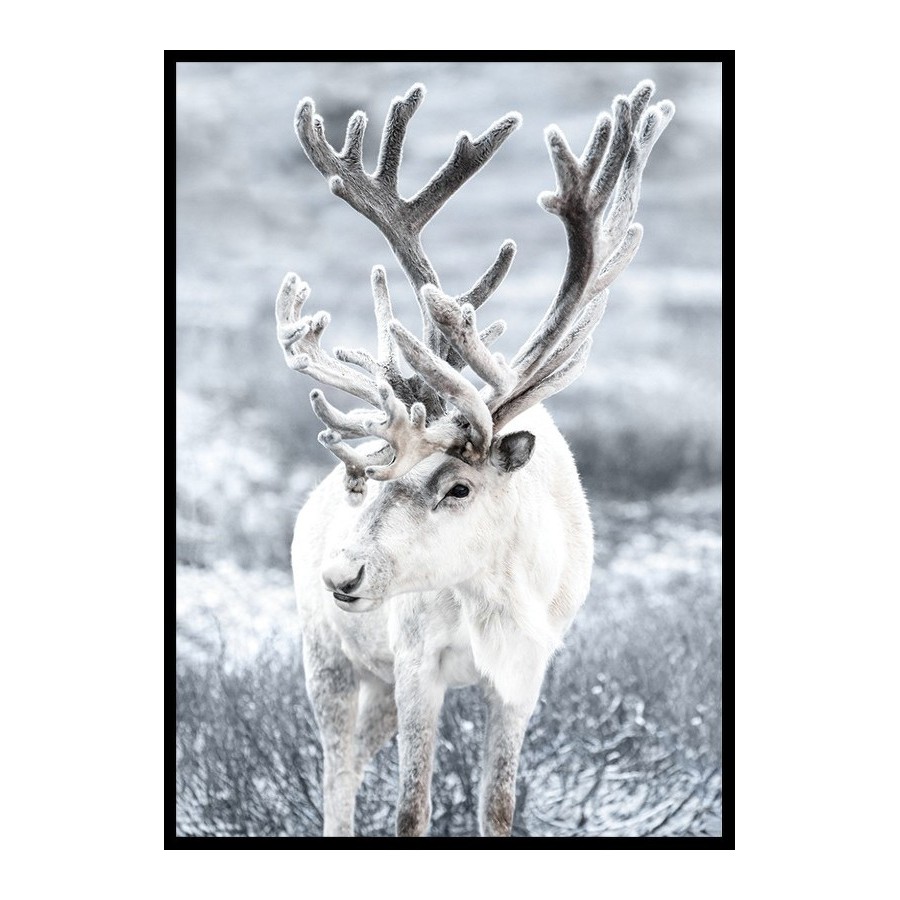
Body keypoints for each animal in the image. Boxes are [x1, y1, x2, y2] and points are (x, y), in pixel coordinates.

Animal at [275, 81, 673, 837]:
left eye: (458, 487)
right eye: (373, 482)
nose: (342, 572)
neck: (496, 596)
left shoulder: (524, 673)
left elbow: (498, 806)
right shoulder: (414, 662)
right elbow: (411, 809)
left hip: (375, 686)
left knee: (357, 759)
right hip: (328, 657)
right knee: (336, 775)